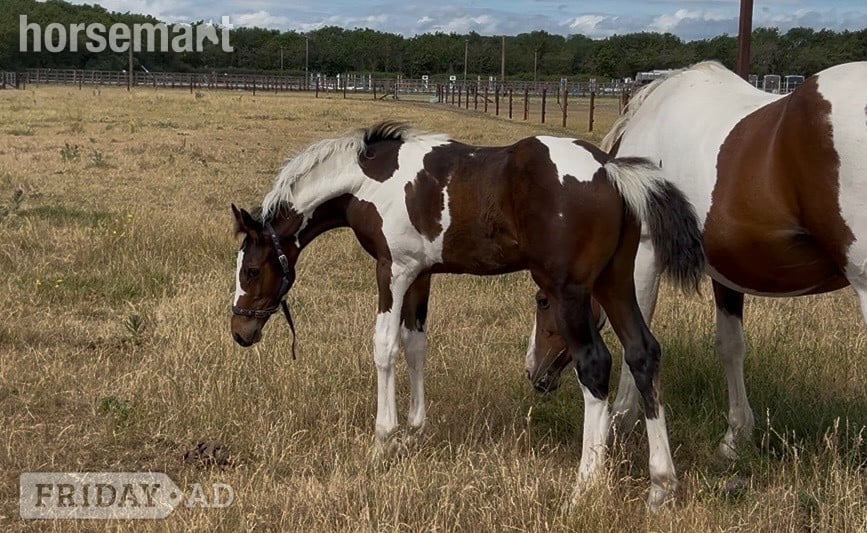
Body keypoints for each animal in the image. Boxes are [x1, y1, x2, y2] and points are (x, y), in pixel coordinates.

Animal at [229, 121, 705, 508]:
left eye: (250, 270)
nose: (240, 330)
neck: (371, 181)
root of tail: (611, 170)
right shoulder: (420, 273)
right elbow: (415, 345)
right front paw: (414, 432)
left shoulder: (392, 270)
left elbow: (385, 347)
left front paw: (383, 442)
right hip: (615, 282)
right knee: (642, 353)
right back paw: (661, 486)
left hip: (570, 292)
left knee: (595, 364)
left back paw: (584, 487)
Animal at [525, 60, 867, 461]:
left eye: (542, 301)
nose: (534, 371)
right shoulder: (727, 274)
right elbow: (731, 346)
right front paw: (735, 438)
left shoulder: (644, 256)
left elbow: (634, 338)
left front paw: (619, 425)